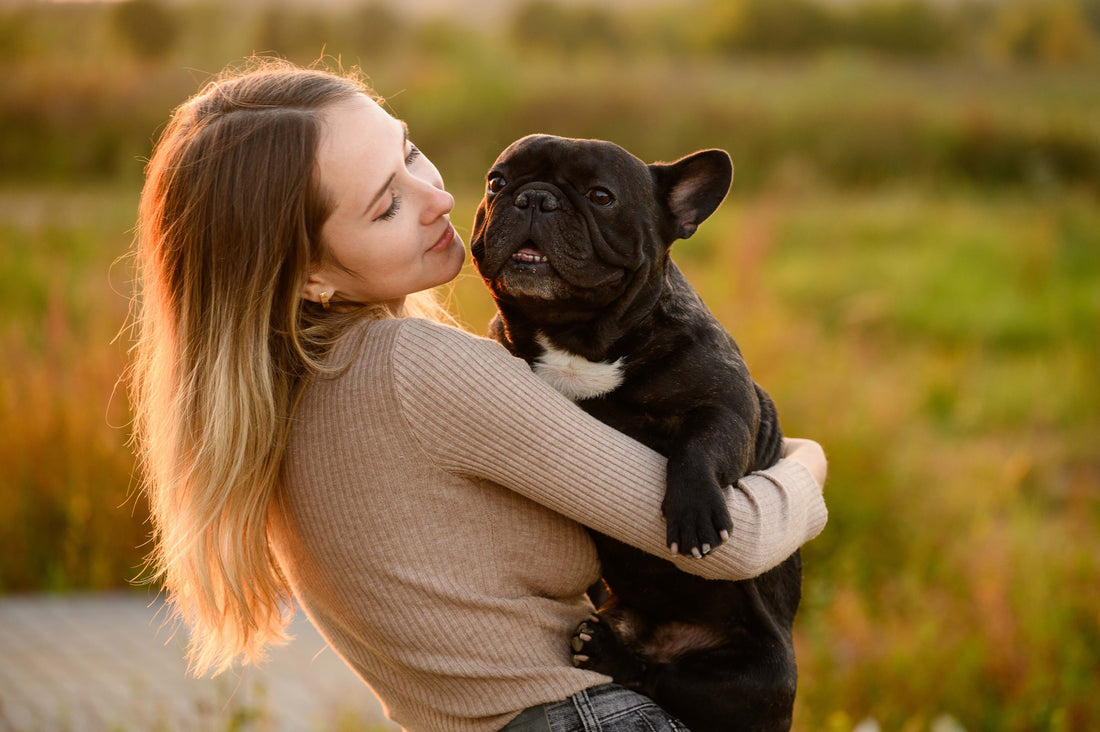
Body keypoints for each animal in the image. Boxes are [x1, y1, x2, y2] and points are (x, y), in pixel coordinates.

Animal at [468, 134, 805, 726]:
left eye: (601, 196)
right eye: (497, 182)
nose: (534, 198)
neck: (575, 337)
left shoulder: (728, 405)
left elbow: (701, 446)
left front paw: (695, 513)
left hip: (762, 680)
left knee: (663, 678)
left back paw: (615, 654)